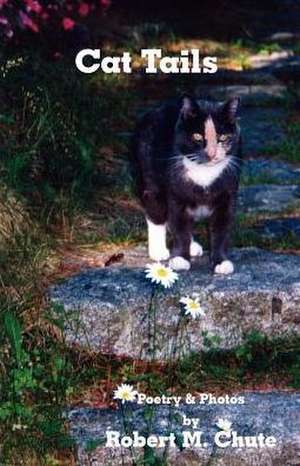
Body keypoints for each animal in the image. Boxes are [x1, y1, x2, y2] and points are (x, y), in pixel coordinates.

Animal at [131, 95, 241, 274]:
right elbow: (179, 225)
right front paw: (181, 259)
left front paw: (221, 262)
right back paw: (158, 250)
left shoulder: (228, 195)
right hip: (149, 173)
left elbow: (221, 230)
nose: (212, 154)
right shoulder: (176, 194)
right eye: (197, 136)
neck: (204, 173)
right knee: (155, 210)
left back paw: (193, 246)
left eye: (223, 138)